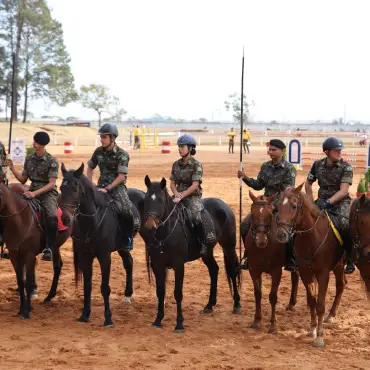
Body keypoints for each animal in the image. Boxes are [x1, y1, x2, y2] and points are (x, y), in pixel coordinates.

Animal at [0, 182, 70, 318]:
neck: (20, 220)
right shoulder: (14, 255)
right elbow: (21, 281)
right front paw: (21, 309)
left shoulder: (29, 255)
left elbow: (28, 281)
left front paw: (27, 311)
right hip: (56, 247)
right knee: (58, 265)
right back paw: (49, 297)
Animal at [244, 192, 300, 334]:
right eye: (253, 213)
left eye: (269, 215)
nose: (261, 240)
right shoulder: (254, 270)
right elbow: (257, 294)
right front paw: (257, 321)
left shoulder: (276, 271)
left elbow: (273, 296)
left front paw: (273, 325)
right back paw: (291, 303)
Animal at [278, 185, 346, 350]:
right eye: (278, 206)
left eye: (294, 206)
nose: (281, 234)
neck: (312, 237)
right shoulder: (305, 273)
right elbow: (312, 301)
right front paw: (312, 329)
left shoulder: (323, 274)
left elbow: (320, 305)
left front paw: (320, 337)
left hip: (339, 266)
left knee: (341, 285)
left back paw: (331, 315)